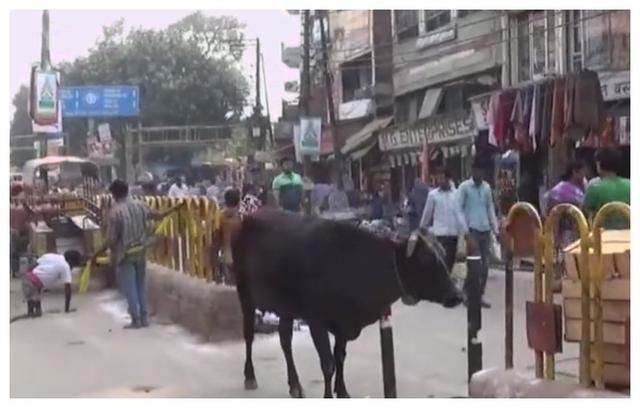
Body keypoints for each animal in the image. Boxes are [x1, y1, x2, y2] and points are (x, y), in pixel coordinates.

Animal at [232, 210, 462, 398]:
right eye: (425, 258)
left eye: (442, 253)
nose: (457, 295)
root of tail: (249, 217)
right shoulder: (317, 321)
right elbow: (328, 363)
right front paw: (328, 396)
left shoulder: (343, 324)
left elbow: (340, 357)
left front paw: (342, 391)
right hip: (245, 294)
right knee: (249, 335)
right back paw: (250, 376)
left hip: (286, 308)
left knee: (285, 340)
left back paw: (295, 386)